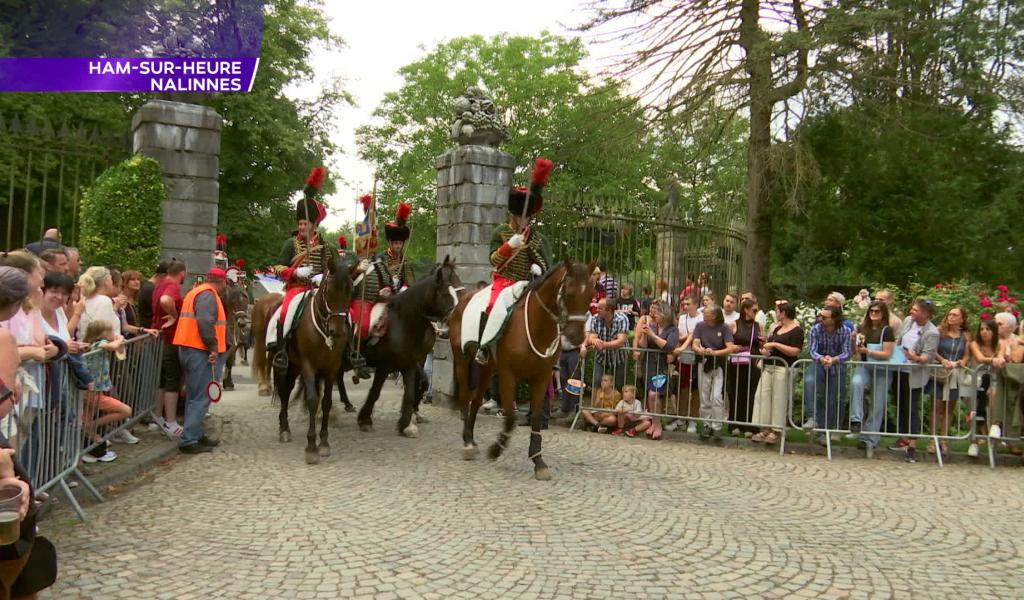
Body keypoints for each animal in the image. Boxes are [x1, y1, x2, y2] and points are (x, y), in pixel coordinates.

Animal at [337, 254, 462, 436]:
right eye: (446, 292)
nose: (456, 317)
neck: (405, 321)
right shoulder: (385, 365)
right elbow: (375, 392)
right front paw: (365, 420)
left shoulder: (409, 363)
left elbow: (411, 391)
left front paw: (406, 424)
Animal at [452, 259, 598, 479]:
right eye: (568, 292)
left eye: (590, 294)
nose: (575, 338)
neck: (536, 325)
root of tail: (464, 299)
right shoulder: (507, 375)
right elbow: (511, 417)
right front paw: (496, 448)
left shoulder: (541, 377)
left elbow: (536, 417)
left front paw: (538, 460)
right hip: (462, 359)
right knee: (465, 396)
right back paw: (467, 443)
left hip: (486, 368)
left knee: (476, 400)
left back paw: (471, 439)